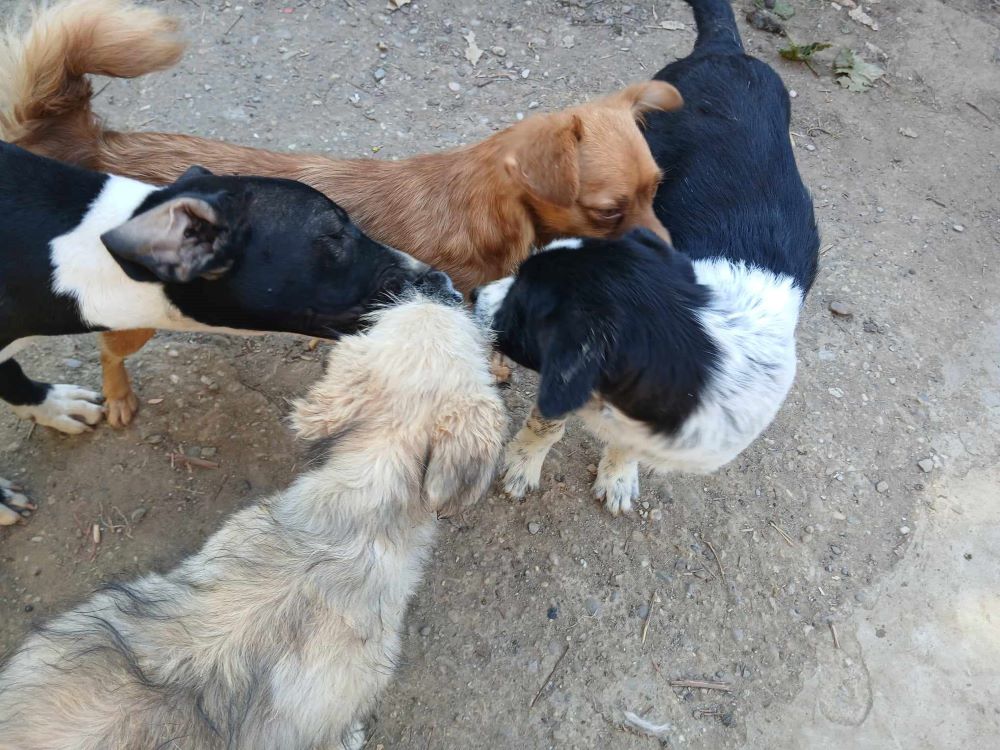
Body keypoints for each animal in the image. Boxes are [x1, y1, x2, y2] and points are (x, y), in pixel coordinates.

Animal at [0, 0, 680, 428]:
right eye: (609, 210)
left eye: (657, 190)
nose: (671, 256)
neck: (487, 213)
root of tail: (100, 143)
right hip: (133, 313)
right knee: (109, 350)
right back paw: (112, 398)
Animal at [472, 0, 816, 516]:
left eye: (522, 308)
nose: (473, 293)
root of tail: (726, 48)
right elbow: (546, 423)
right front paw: (523, 464)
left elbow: (626, 446)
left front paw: (617, 476)